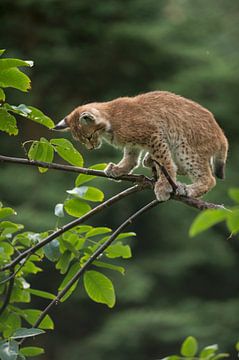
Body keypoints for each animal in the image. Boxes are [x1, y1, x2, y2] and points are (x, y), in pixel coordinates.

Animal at [53, 91, 228, 201]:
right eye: (81, 140)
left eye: (89, 136)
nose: (91, 148)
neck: (110, 120)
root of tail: (222, 134)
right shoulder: (133, 143)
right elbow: (131, 158)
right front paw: (120, 169)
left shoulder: (154, 135)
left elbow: (164, 161)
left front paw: (164, 186)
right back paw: (150, 161)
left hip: (187, 148)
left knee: (210, 179)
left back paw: (188, 189)